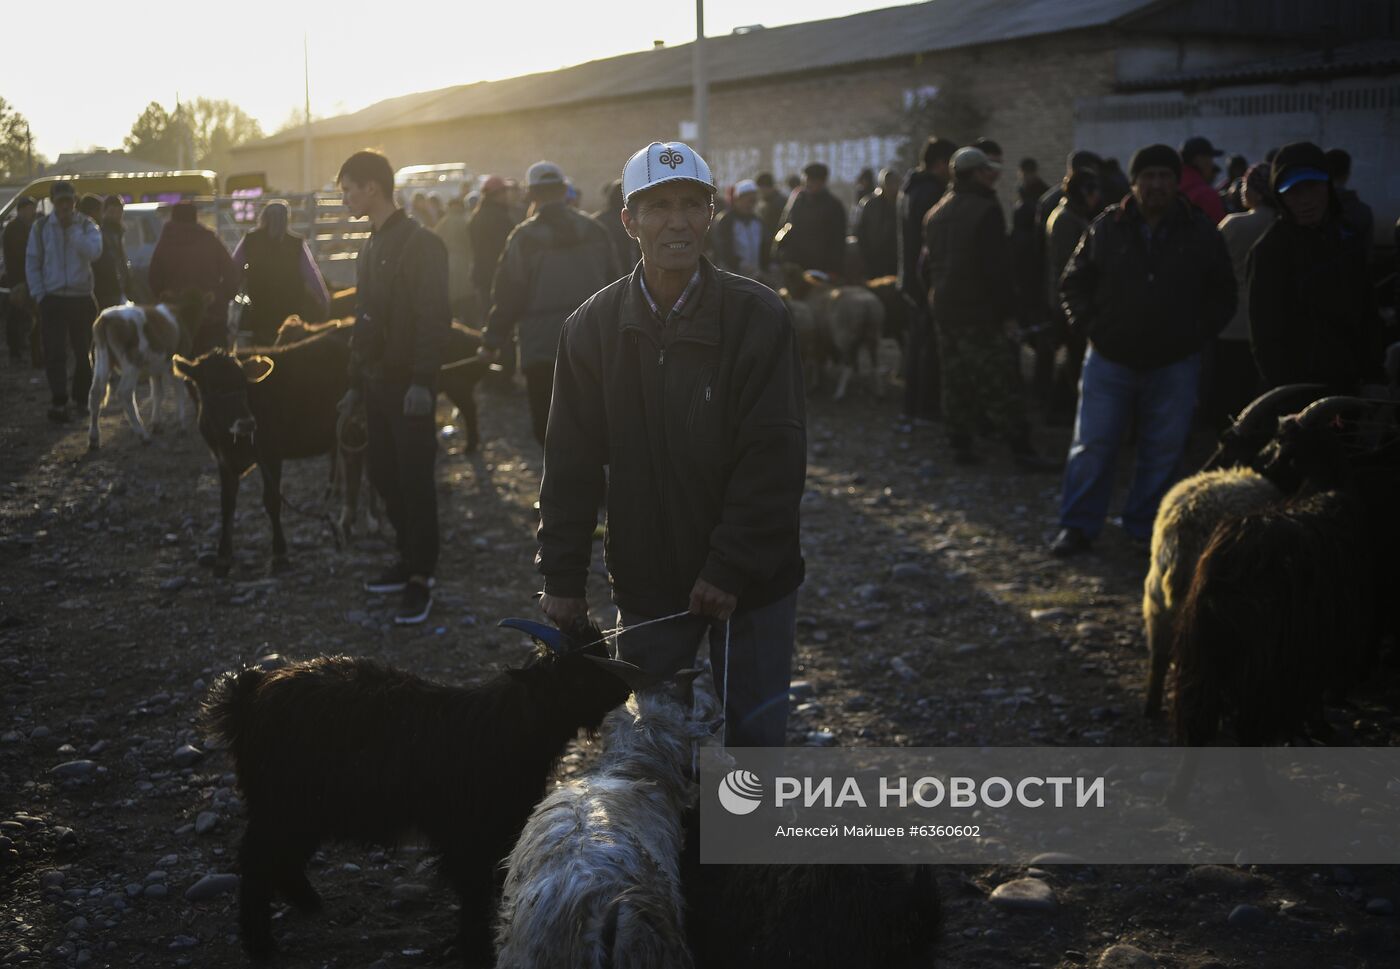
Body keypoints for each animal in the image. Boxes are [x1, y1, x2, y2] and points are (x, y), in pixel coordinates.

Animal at [201, 621, 630, 963]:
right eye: (576, 674)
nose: (625, 688)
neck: (501, 730)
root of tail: (245, 696)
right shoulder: (466, 835)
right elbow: (474, 891)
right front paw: (475, 949)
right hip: (280, 804)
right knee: (256, 862)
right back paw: (260, 944)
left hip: (304, 808)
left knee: (282, 856)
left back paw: (307, 901)